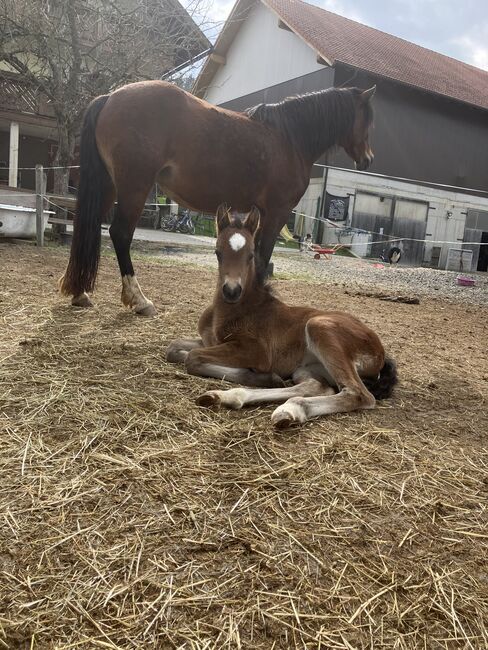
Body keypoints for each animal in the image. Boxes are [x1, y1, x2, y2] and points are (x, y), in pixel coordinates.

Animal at [59, 81, 376, 314]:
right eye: (369, 120)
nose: (369, 159)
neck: (290, 138)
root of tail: (110, 97)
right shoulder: (277, 212)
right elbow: (263, 258)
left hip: (109, 186)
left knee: (89, 226)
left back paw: (80, 292)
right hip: (134, 187)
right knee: (120, 234)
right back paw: (139, 300)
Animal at [168, 205, 396, 428]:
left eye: (251, 255)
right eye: (218, 252)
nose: (231, 291)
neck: (229, 311)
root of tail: (381, 352)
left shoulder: (257, 351)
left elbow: (193, 357)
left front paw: (259, 375)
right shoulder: (210, 341)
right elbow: (173, 348)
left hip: (319, 327)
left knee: (359, 394)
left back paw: (290, 407)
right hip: (307, 369)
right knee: (316, 386)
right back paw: (232, 397)